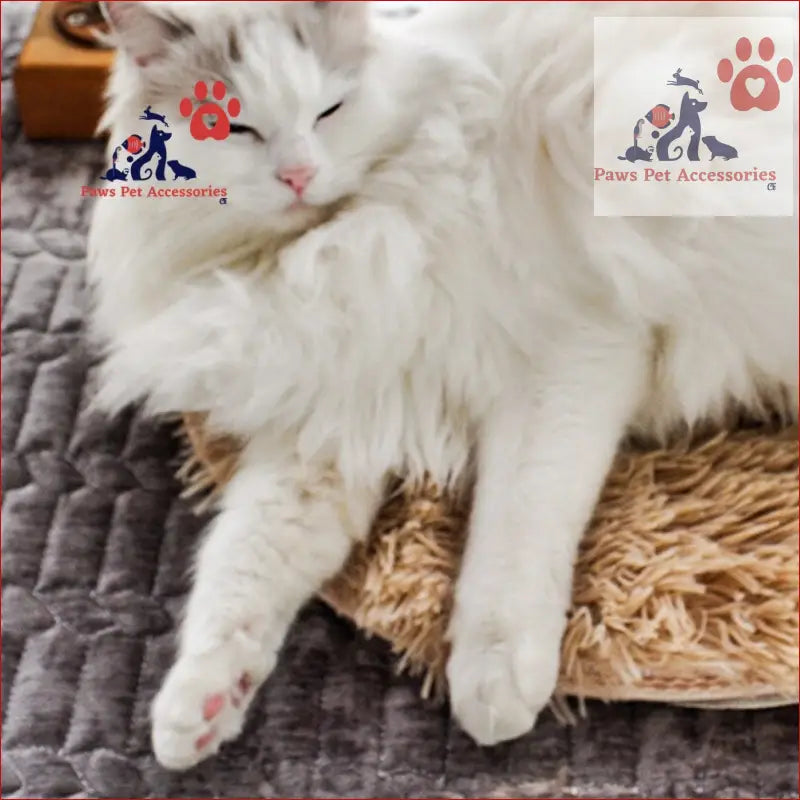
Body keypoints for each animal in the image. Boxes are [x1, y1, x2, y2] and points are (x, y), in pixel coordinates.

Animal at [90, 1, 796, 776]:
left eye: (329, 110)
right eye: (235, 127)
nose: (299, 175)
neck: (320, 261)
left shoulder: (568, 356)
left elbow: (512, 533)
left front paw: (494, 684)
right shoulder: (329, 422)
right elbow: (239, 566)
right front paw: (198, 708)